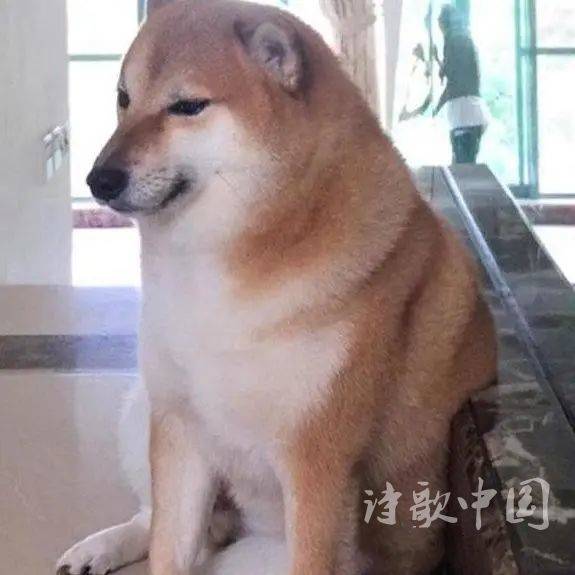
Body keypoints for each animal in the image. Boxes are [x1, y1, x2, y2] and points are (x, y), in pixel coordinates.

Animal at [57, 1, 497, 574]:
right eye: (124, 98)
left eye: (187, 106)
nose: (98, 179)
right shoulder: (180, 428)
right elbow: (167, 548)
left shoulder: (316, 462)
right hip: (143, 406)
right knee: (150, 520)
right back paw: (102, 546)